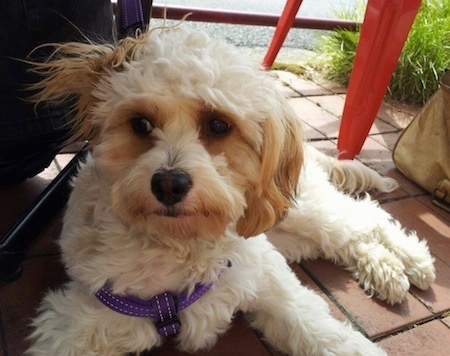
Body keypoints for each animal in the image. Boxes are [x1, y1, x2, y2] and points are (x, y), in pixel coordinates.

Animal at [25, 26, 436, 354]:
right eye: (140, 124)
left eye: (219, 125)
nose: (170, 183)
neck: (181, 244)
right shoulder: (80, 319)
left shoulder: (268, 280)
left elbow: (316, 329)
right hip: (290, 235)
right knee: (345, 237)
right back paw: (386, 269)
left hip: (297, 210)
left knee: (364, 216)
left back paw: (411, 259)